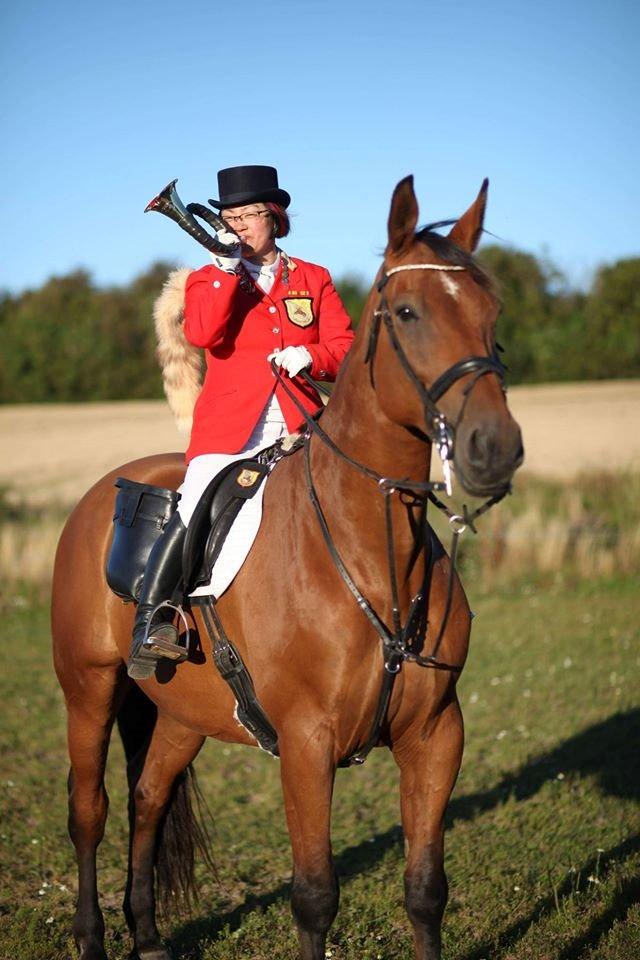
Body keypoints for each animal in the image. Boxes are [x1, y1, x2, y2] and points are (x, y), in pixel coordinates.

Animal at [51, 175, 523, 960]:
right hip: (87, 689)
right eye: (406, 311)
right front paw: (232, 265)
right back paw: (93, 937)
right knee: (90, 809)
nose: (496, 448)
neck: (373, 551)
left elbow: (426, 891)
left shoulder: (436, 735)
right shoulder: (306, 743)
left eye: (492, 312)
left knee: (149, 799)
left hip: (182, 713)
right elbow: (314, 897)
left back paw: (147, 935)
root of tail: (100, 494)